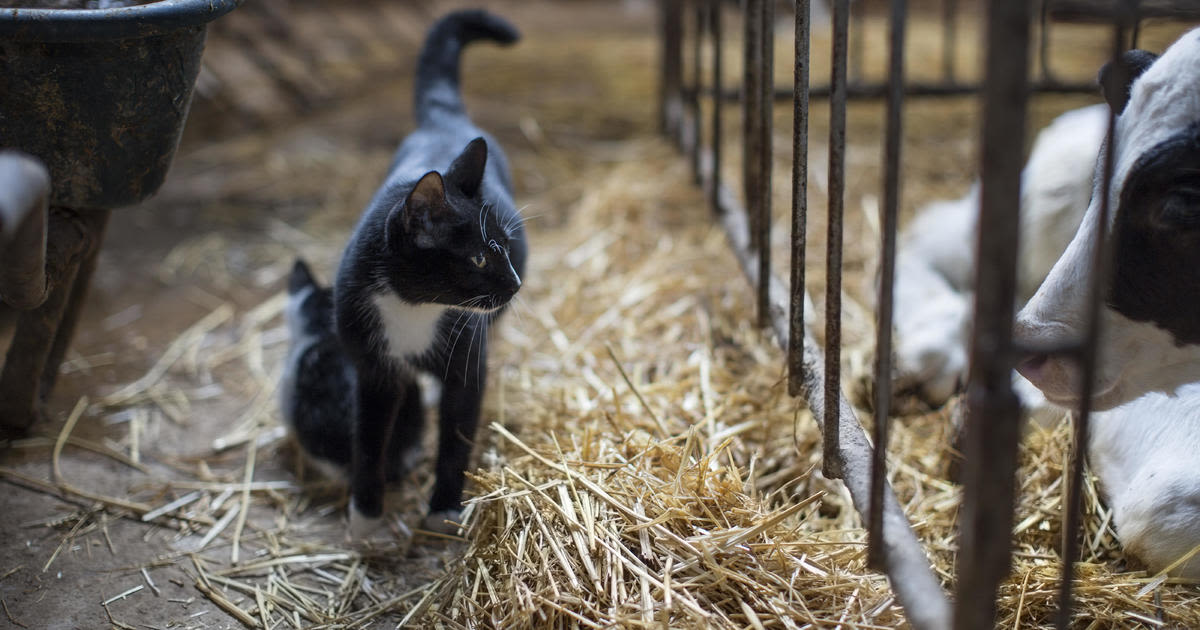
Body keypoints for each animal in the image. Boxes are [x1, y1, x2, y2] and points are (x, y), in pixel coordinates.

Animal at [283, 11, 528, 535]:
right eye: (479, 259)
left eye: (505, 247)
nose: (515, 283)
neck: (414, 309)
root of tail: (442, 121)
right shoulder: (371, 365)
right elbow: (370, 438)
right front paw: (365, 514)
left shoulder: (466, 358)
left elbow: (456, 433)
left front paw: (443, 509)